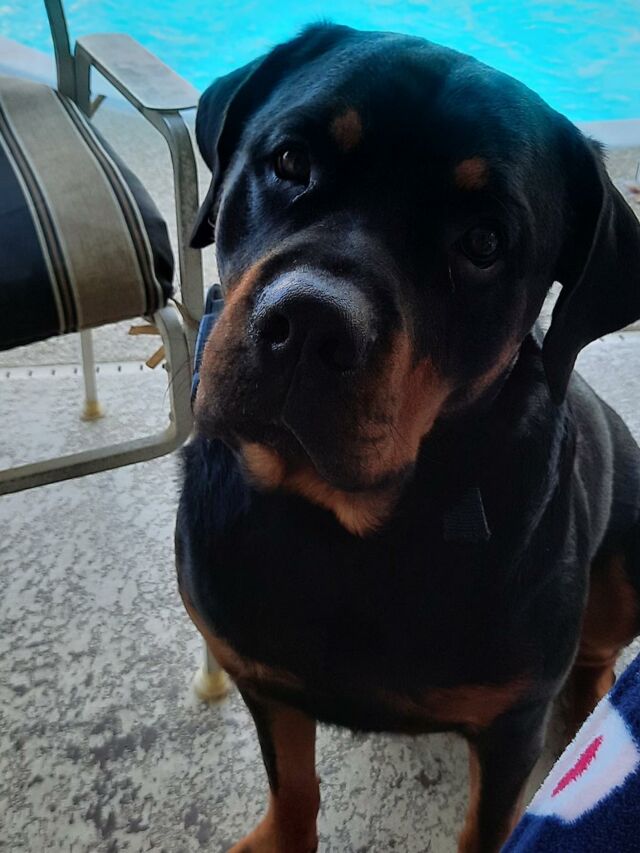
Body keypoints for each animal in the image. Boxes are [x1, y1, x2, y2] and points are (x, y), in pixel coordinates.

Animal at [176, 23, 640, 852]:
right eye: (289, 160)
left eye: (484, 241)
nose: (311, 323)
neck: (340, 528)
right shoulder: (259, 675)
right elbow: (293, 782)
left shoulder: (509, 724)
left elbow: (486, 827)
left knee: (597, 645)